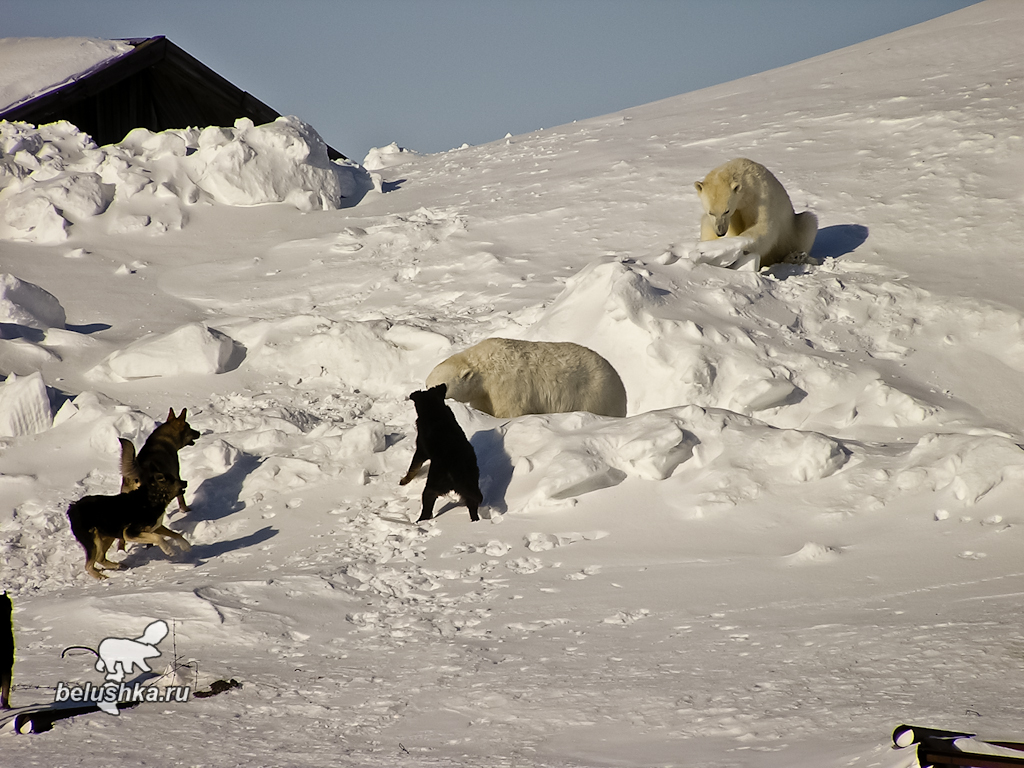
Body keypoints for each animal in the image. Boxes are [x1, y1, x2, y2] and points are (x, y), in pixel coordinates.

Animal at [425, 338, 627, 419]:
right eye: (426, 386)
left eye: (440, 387)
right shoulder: (483, 393)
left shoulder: (506, 385)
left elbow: (511, 411)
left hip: (595, 395)